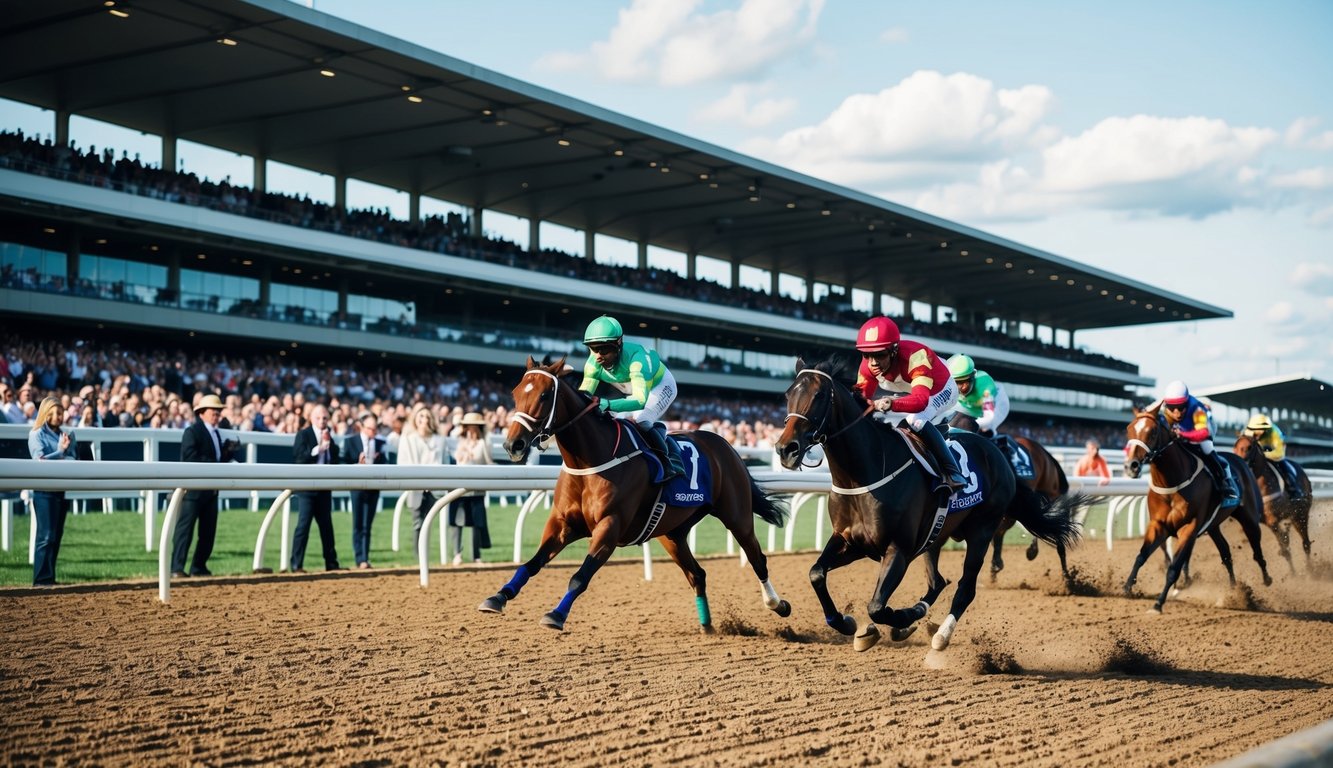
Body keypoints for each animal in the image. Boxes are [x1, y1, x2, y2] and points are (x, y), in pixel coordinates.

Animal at [479, 357, 789, 632]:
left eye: (544, 395)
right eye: (515, 392)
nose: (513, 445)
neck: (590, 460)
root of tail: (727, 446)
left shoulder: (610, 526)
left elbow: (580, 577)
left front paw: (556, 615)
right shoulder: (563, 524)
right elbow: (531, 564)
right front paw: (498, 597)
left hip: (736, 516)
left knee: (757, 559)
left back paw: (778, 604)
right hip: (671, 532)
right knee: (697, 574)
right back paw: (707, 626)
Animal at [773, 360, 1082, 653]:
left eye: (819, 395)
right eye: (788, 394)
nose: (785, 449)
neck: (864, 474)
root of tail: (1000, 456)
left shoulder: (898, 549)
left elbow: (877, 606)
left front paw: (892, 623)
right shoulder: (851, 542)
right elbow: (816, 573)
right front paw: (847, 623)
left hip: (982, 528)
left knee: (966, 587)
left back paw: (942, 635)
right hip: (937, 535)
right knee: (938, 582)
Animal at [1125, 402, 1269, 613]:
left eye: (1152, 432)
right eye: (1129, 429)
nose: (1132, 466)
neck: (1172, 482)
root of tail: (1242, 462)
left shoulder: (1190, 527)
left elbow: (1174, 568)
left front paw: (1158, 604)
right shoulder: (1158, 524)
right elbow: (1141, 555)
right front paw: (1127, 586)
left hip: (1249, 517)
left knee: (1257, 549)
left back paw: (1267, 579)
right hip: (1213, 525)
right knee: (1226, 553)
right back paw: (1234, 590)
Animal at [1231, 432, 1317, 576]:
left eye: (1249, 447)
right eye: (1235, 447)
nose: (1238, 465)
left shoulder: (1273, 520)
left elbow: (1285, 544)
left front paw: (1294, 573)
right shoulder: (1269, 522)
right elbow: (1285, 547)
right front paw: (1292, 573)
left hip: (1301, 514)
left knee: (1306, 543)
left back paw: (1311, 570)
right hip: (1292, 516)